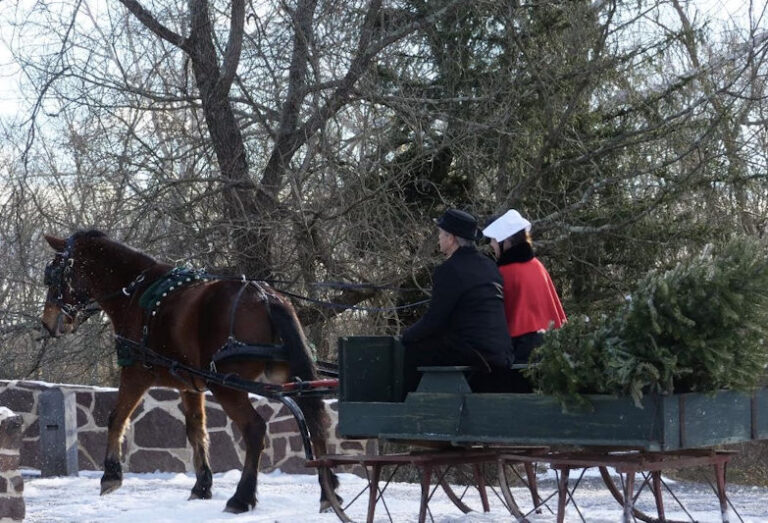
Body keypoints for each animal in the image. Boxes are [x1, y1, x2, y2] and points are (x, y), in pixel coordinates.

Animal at [40, 231, 338, 512]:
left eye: (54, 275)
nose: (47, 322)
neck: (134, 291)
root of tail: (266, 297)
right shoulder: (190, 385)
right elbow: (196, 431)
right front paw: (202, 486)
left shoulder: (136, 373)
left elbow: (117, 417)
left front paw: (111, 476)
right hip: (288, 377)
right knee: (315, 421)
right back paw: (328, 491)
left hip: (227, 385)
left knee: (255, 429)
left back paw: (241, 498)